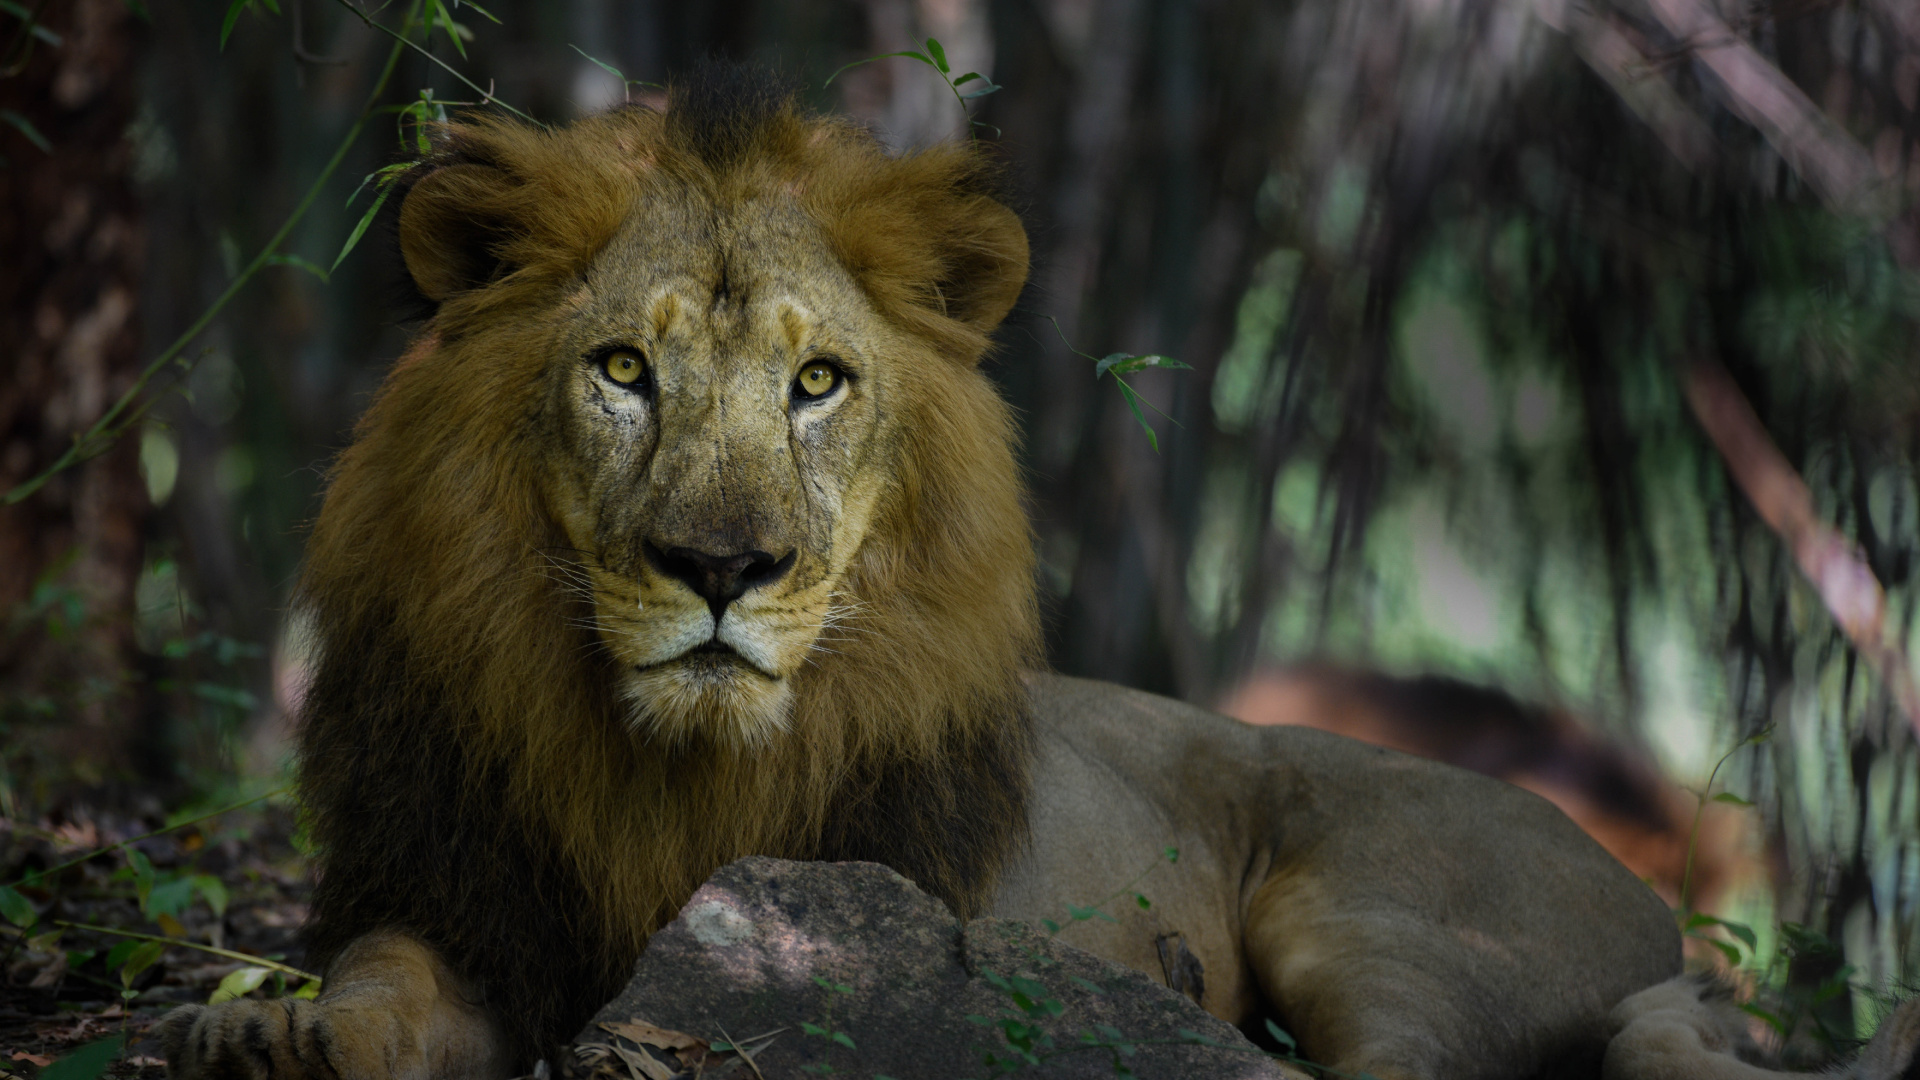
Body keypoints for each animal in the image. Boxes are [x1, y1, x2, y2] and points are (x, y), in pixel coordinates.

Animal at [159, 71, 1915, 1080]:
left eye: (818, 384)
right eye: (620, 373)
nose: (723, 567)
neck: (659, 771)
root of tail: (1653, 898)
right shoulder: (454, 897)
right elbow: (379, 983)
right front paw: (271, 1030)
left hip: (1375, 919)